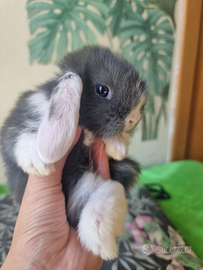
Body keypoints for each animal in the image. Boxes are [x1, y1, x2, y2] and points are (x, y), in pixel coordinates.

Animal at [0, 45, 148, 260]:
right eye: (102, 90)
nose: (134, 118)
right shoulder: (22, 117)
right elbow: (20, 137)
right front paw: (39, 162)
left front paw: (118, 147)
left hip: (107, 184)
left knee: (103, 203)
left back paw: (104, 248)